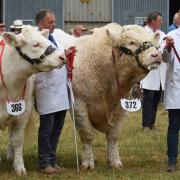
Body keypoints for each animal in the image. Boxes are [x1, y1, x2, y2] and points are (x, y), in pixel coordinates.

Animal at [0, 25, 66, 174]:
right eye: (35, 44)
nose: (63, 56)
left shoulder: (23, 115)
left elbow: (17, 140)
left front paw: (19, 168)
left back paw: (10, 155)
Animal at [60, 23, 162, 169]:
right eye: (131, 42)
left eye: (153, 43)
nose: (156, 55)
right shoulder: (79, 106)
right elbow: (87, 134)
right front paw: (88, 163)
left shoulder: (123, 108)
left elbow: (113, 136)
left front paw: (114, 161)